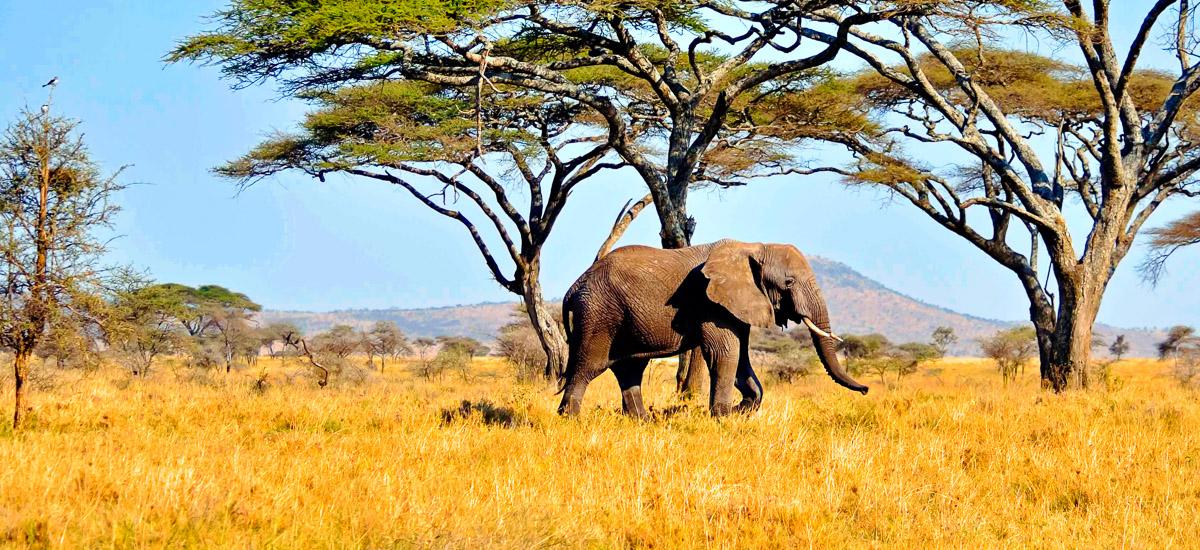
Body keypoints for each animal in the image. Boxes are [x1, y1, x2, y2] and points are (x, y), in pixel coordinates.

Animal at [557, 239, 869, 418]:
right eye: (788, 282)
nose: (866, 390)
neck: (753, 247)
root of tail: (573, 287)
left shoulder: (737, 303)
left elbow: (741, 357)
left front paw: (742, 409)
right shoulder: (711, 302)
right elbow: (725, 353)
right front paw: (721, 416)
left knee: (630, 370)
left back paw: (642, 422)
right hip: (599, 313)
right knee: (589, 366)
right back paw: (570, 420)